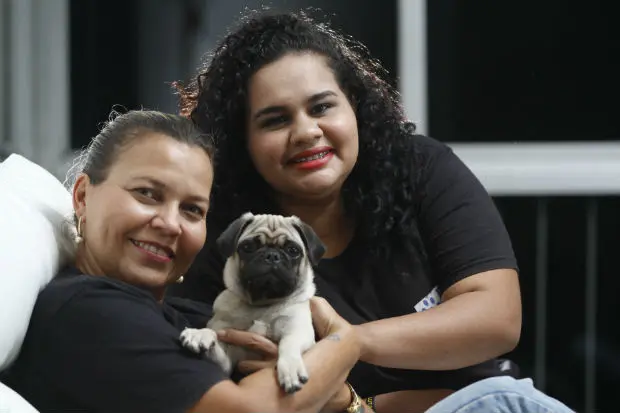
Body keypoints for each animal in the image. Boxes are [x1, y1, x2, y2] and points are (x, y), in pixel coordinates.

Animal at [179, 212, 324, 392]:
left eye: (293, 250)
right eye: (248, 247)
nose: (272, 255)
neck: (262, 304)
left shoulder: (299, 330)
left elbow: (288, 343)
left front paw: (291, 369)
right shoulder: (227, 361)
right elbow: (214, 337)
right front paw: (200, 334)